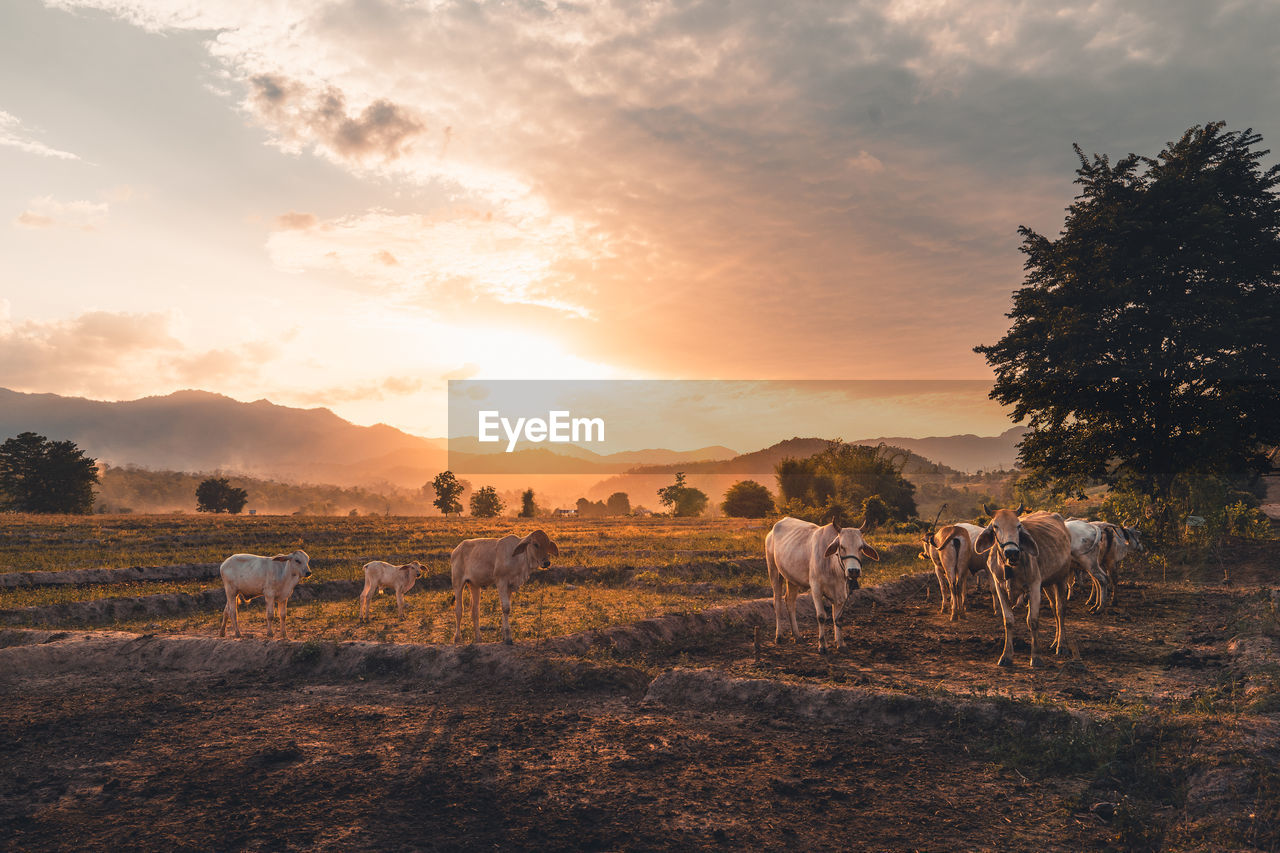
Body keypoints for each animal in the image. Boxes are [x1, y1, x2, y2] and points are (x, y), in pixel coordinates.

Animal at [757, 512, 880, 650]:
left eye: (861, 547)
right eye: (842, 546)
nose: (853, 570)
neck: (833, 566)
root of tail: (774, 528)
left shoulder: (841, 591)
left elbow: (838, 617)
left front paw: (840, 643)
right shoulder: (816, 588)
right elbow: (821, 616)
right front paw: (822, 645)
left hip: (792, 579)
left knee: (790, 602)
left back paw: (797, 635)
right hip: (774, 571)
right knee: (777, 602)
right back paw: (779, 636)